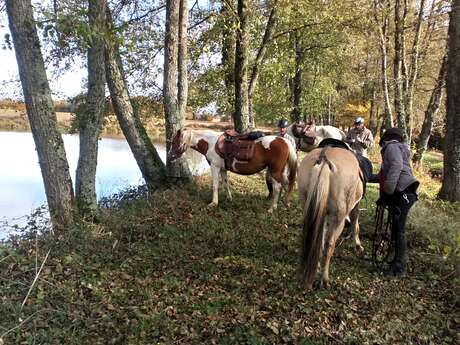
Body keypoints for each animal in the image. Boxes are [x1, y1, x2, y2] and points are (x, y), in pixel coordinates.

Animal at [169, 127, 298, 211]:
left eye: (175, 142)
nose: (170, 156)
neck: (210, 143)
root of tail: (285, 141)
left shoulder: (215, 167)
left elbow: (215, 185)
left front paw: (213, 203)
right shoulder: (222, 169)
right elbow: (225, 184)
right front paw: (229, 198)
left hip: (275, 171)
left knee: (277, 187)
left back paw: (272, 208)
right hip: (281, 171)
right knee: (286, 184)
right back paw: (286, 204)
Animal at [296, 140, 364, 288]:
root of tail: (324, 159)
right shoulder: (355, 206)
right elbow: (356, 225)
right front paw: (358, 245)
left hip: (308, 206)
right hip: (338, 218)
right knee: (330, 244)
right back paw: (325, 278)